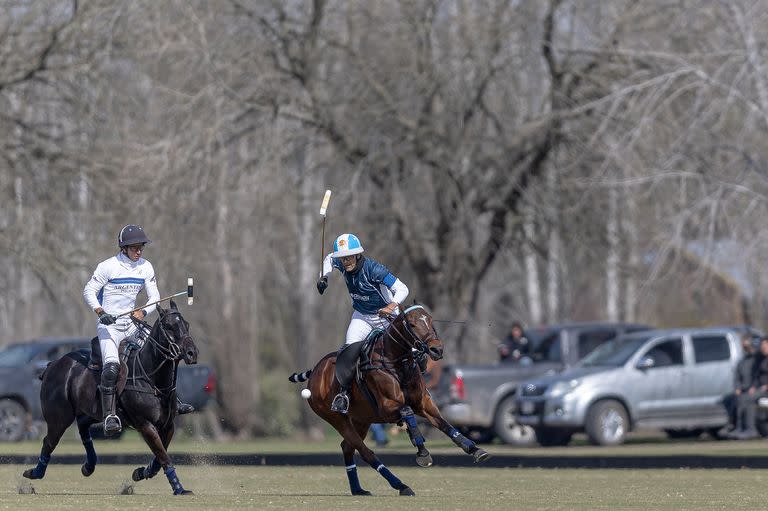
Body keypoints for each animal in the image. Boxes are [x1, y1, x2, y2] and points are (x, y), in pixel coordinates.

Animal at [23, 302, 198, 494]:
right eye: (168, 326)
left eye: (187, 324)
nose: (192, 353)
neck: (153, 381)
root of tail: (52, 364)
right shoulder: (145, 425)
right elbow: (163, 456)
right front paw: (179, 488)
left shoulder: (168, 425)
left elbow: (160, 456)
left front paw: (141, 472)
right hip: (59, 417)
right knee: (49, 441)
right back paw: (34, 473)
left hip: (93, 412)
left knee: (82, 426)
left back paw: (88, 466)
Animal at [292, 304, 488, 496]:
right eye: (412, 324)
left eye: (431, 320)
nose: (436, 349)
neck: (396, 362)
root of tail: (315, 371)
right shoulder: (386, 409)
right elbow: (407, 412)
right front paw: (422, 452)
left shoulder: (423, 403)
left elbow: (444, 424)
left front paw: (475, 449)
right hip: (336, 419)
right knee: (365, 452)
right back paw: (401, 485)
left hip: (362, 419)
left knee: (347, 447)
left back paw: (358, 489)